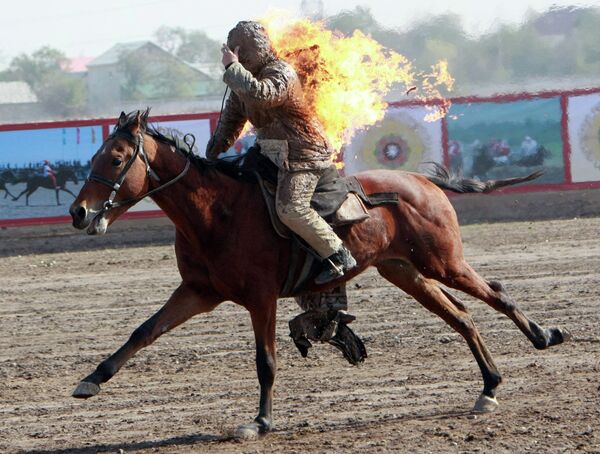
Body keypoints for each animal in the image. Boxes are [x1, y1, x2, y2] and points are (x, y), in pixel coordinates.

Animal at [68, 112, 568, 440]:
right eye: (96, 154)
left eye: (116, 158)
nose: (79, 212)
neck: (217, 211)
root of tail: (422, 182)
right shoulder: (198, 292)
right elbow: (143, 332)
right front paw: (92, 379)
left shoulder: (261, 298)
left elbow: (266, 362)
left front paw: (260, 422)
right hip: (406, 272)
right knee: (462, 316)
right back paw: (490, 386)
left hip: (444, 263)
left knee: (496, 294)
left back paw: (544, 336)